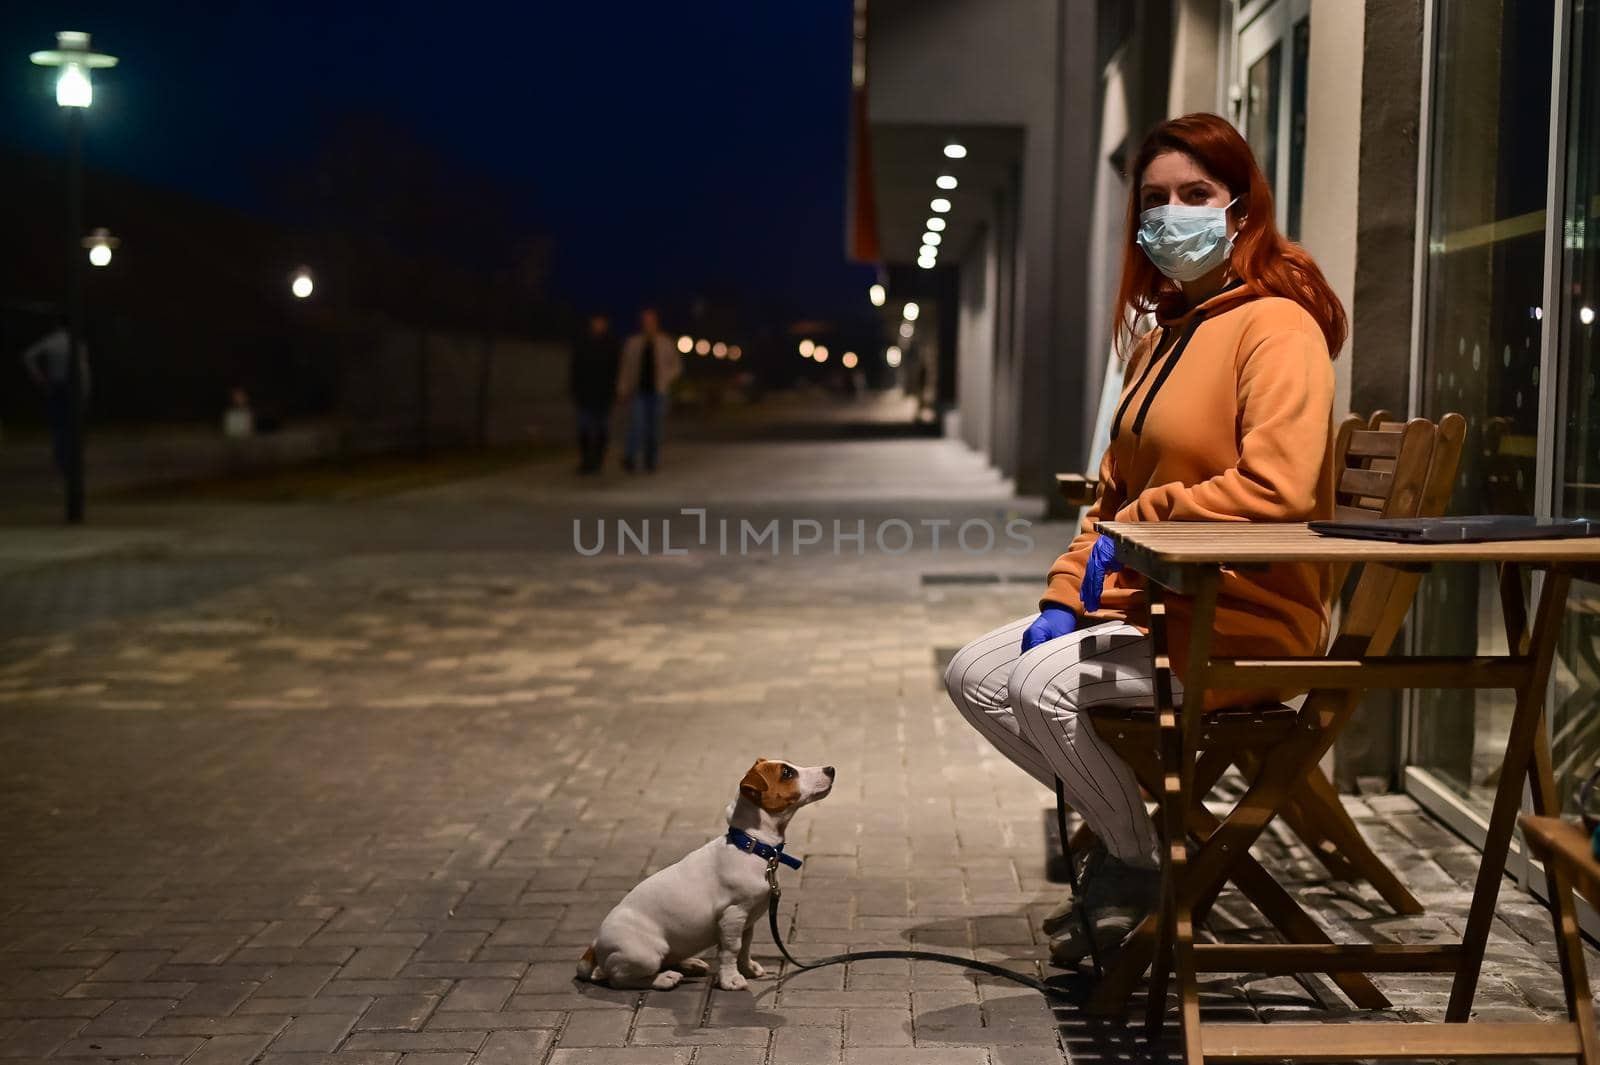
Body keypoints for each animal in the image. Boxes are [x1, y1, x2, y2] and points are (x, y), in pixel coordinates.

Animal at [576, 754, 838, 985]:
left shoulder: (747, 921)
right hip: (644, 955)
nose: (831, 769)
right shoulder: (733, 915)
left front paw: (747, 969)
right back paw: (663, 979)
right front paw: (731, 979)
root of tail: (594, 945)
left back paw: (690, 963)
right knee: (619, 978)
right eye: (787, 773)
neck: (752, 846)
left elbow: (746, 946)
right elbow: (731, 950)